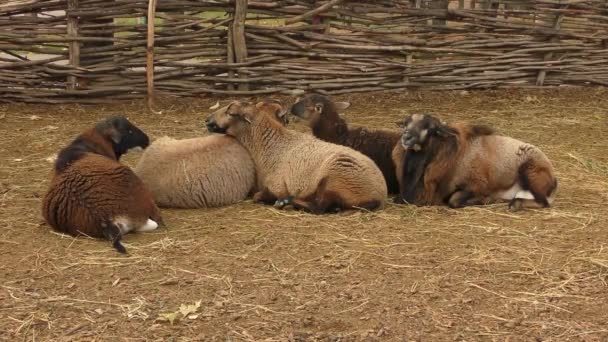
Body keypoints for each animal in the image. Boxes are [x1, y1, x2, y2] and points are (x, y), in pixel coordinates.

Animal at [204, 97, 384, 214]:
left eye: (231, 112)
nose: (207, 120)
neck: (270, 144)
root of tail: (380, 193)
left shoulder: (278, 186)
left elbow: (258, 196)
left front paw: (277, 199)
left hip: (336, 177)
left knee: (319, 207)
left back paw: (287, 202)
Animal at [392, 113, 560, 210]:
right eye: (406, 124)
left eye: (430, 128)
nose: (406, 137)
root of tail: (552, 179)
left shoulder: (476, 185)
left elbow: (454, 200)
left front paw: (485, 199)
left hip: (530, 172)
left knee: (544, 202)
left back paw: (515, 204)